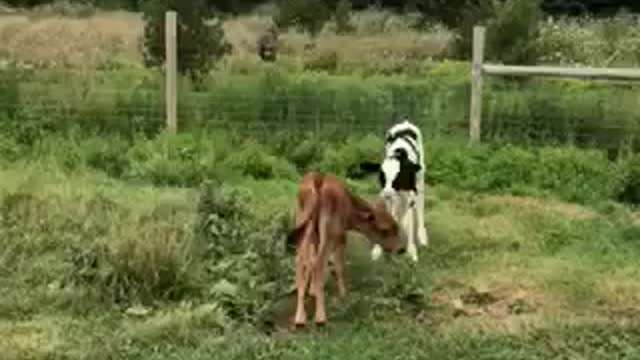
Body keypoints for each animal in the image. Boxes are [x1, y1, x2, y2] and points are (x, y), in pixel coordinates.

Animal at [286, 172, 404, 326]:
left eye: (396, 226)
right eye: (385, 229)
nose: (401, 248)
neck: (350, 213)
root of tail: (318, 180)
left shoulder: (316, 237)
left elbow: (311, 260)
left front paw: (312, 291)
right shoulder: (341, 236)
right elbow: (339, 265)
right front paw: (343, 293)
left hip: (303, 223)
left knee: (301, 261)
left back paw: (300, 317)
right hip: (329, 232)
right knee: (319, 263)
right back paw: (320, 317)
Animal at [360, 118, 430, 262]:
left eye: (397, 178)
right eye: (382, 178)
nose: (387, 194)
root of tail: (405, 123)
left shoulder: (410, 195)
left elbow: (409, 220)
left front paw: (411, 251)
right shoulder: (389, 196)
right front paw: (378, 249)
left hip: (420, 181)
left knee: (419, 208)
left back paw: (422, 236)